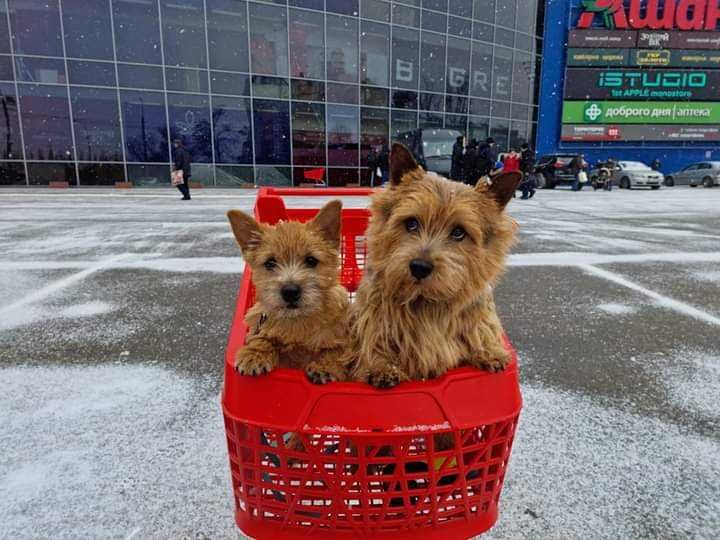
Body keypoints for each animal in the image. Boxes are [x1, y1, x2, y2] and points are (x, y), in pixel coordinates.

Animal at [226, 199, 348, 384]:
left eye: (311, 260)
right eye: (270, 263)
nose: (290, 291)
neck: (296, 322)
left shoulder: (344, 338)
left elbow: (335, 352)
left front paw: (325, 366)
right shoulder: (260, 323)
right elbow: (263, 337)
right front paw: (254, 355)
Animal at [350, 143, 524, 388]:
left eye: (459, 232)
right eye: (411, 223)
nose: (419, 267)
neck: (426, 302)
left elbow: (480, 335)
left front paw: (488, 352)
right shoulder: (373, 327)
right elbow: (375, 349)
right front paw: (382, 368)